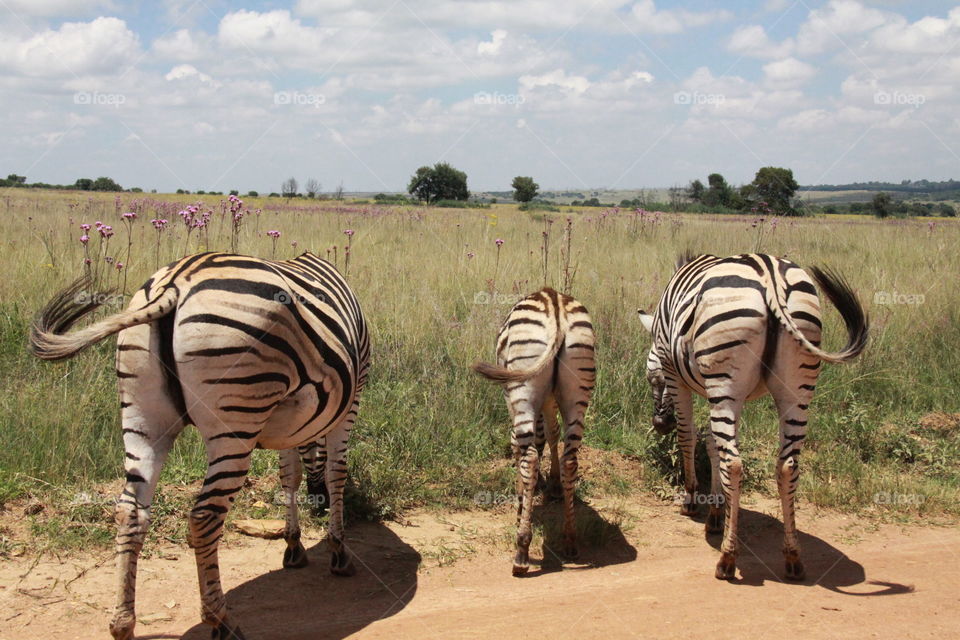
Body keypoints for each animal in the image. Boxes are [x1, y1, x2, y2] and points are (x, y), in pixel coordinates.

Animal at [29, 251, 370, 640]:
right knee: (205, 516)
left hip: (142, 414)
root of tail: (174, 284)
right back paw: (221, 620)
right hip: (235, 417)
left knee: (130, 511)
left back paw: (123, 622)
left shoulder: (290, 425)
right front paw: (338, 551)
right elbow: (335, 474)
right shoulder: (352, 398)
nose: (319, 505)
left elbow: (289, 477)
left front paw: (294, 544)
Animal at [472, 287, 595, 576]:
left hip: (522, 388)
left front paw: (521, 502)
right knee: (571, 459)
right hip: (578, 391)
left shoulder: (515, 401)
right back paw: (570, 540)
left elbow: (522, 446)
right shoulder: (550, 398)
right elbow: (551, 433)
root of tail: (555, 302)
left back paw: (521, 550)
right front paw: (553, 485)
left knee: (529, 458)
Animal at [637, 253, 867, 581]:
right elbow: (713, 446)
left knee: (734, 464)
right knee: (787, 465)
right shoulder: (725, 394)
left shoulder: (677, 374)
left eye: (652, 378)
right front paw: (717, 511)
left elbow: (689, 438)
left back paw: (727, 559)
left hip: (726, 378)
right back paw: (793, 557)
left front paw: (692, 501)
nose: (660, 425)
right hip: (796, 386)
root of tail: (770, 276)